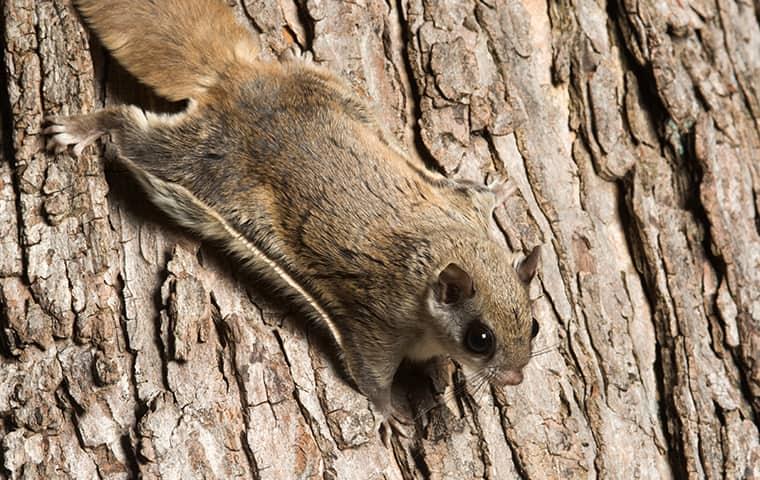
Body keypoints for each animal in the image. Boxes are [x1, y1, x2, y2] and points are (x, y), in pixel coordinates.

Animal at [46, 0, 540, 442]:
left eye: (534, 326)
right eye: (480, 338)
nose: (515, 378)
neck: (440, 252)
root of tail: (233, 78)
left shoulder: (459, 209)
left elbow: (473, 195)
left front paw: (499, 191)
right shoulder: (377, 322)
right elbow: (370, 373)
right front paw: (386, 413)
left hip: (329, 91)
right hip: (198, 160)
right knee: (131, 130)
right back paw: (87, 127)